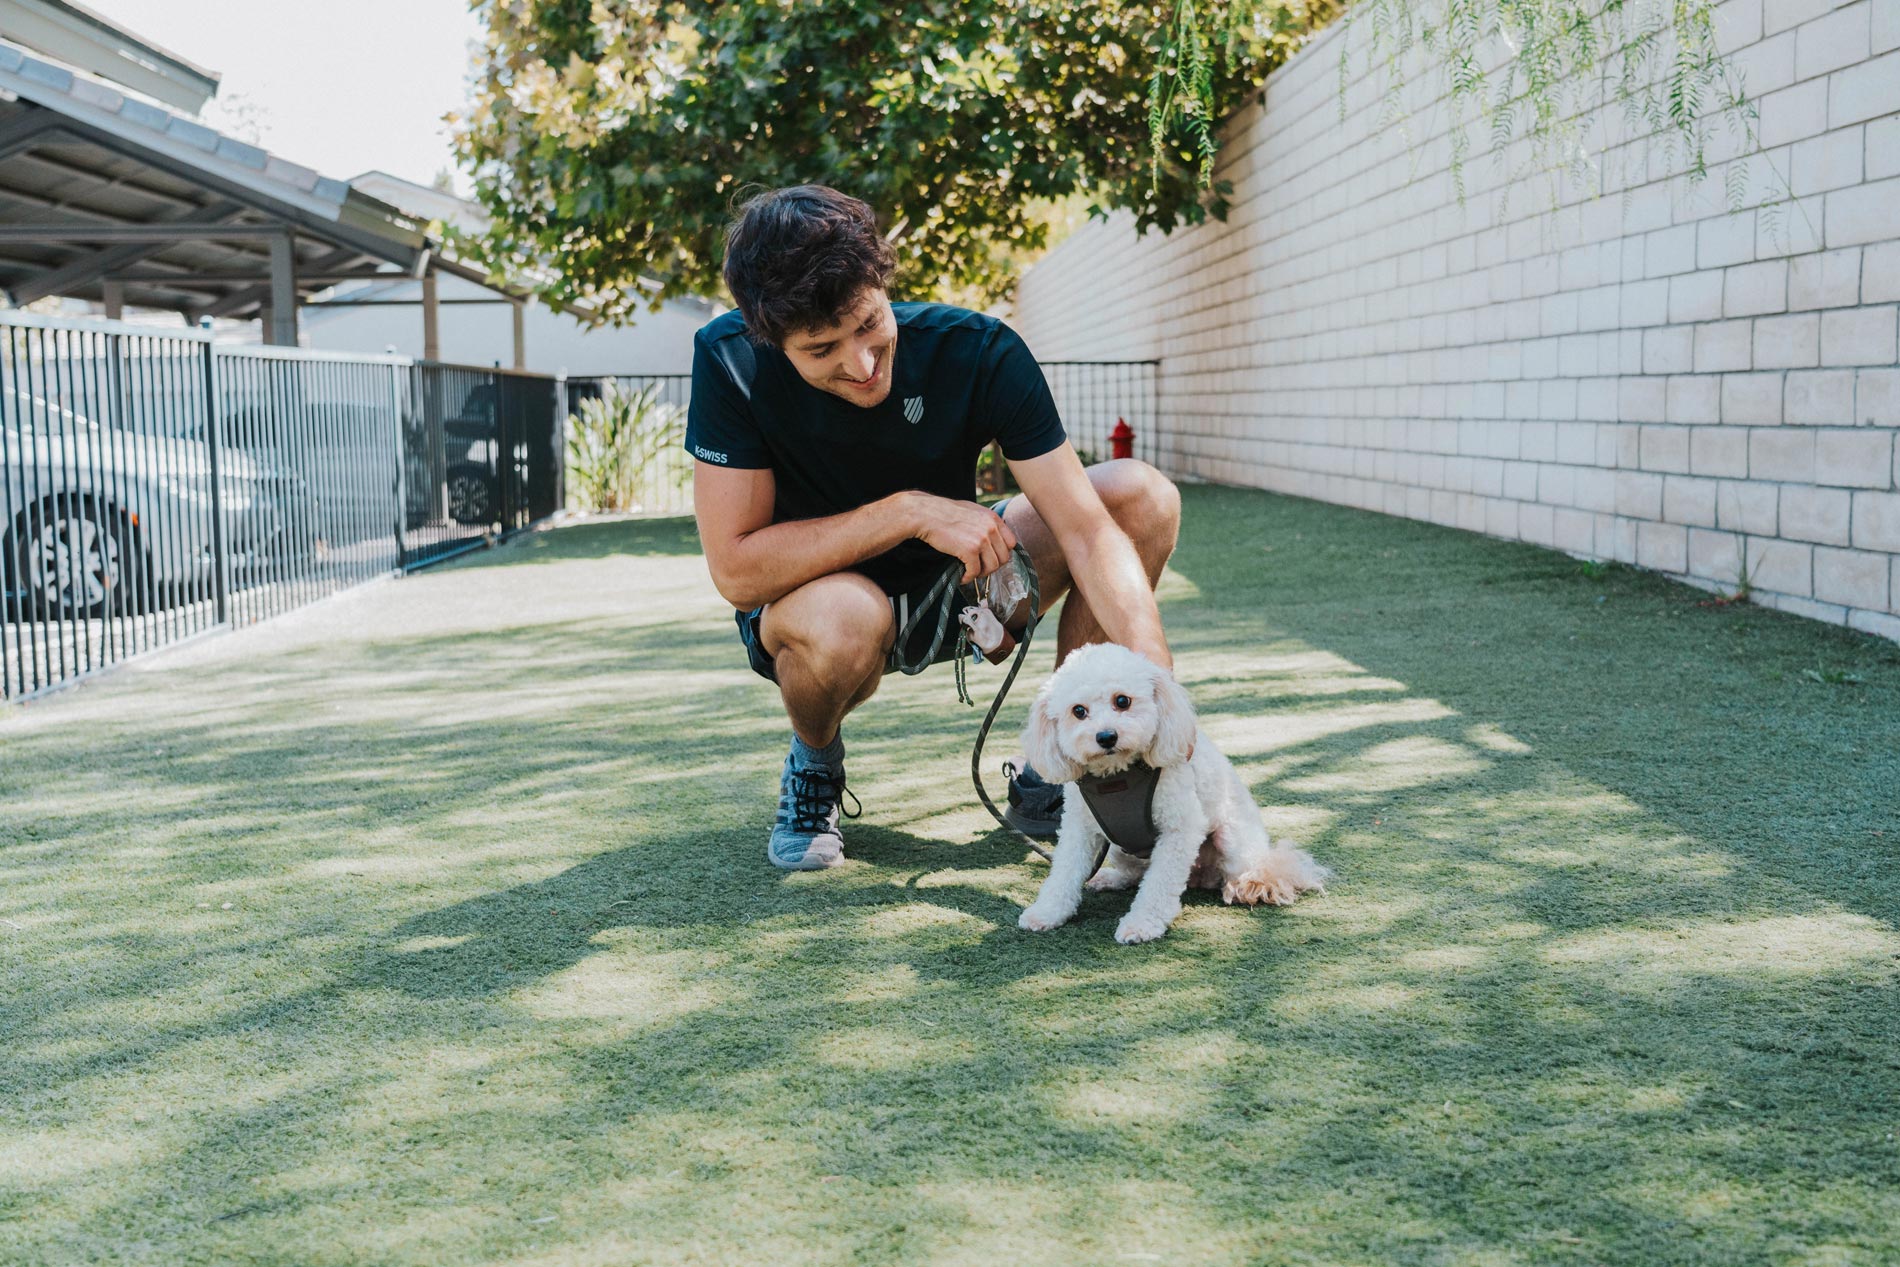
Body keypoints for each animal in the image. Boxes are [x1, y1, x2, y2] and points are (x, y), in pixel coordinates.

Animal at [1018, 645, 1330, 942]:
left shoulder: (1179, 829)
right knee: (1135, 873)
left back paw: (1247, 887)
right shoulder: (1077, 830)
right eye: (1078, 711)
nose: (1106, 737)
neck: (1118, 775)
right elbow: (1064, 872)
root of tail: (1202, 875)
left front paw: (1142, 924)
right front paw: (1047, 912)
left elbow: (1159, 884)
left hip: (1233, 839)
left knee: (1259, 870)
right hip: (1119, 847)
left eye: (1122, 701)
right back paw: (1110, 878)